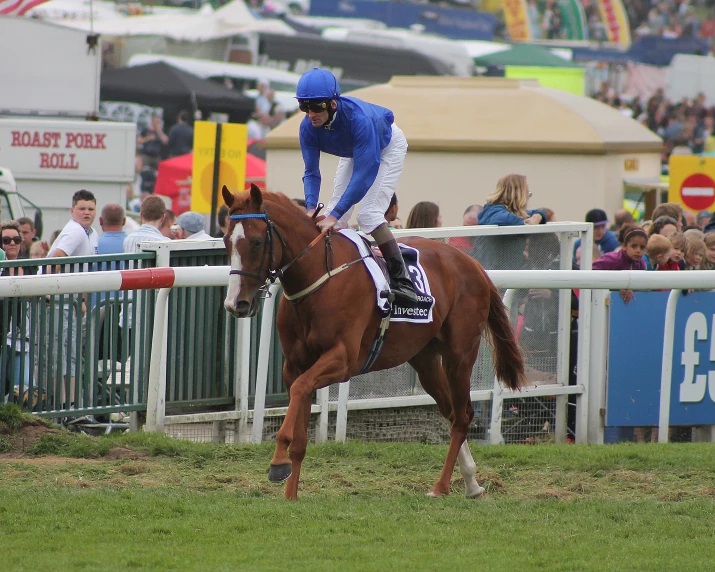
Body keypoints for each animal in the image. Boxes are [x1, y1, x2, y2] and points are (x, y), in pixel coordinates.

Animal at [221, 185, 524, 498]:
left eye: (257, 242)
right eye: (226, 241)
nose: (235, 304)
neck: (319, 278)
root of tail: (473, 264)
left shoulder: (342, 360)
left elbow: (301, 389)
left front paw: (277, 461)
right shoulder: (294, 365)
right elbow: (300, 427)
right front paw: (290, 494)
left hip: (459, 355)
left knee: (463, 417)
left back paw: (441, 486)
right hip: (425, 359)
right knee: (452, 413)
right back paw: (471, 482)